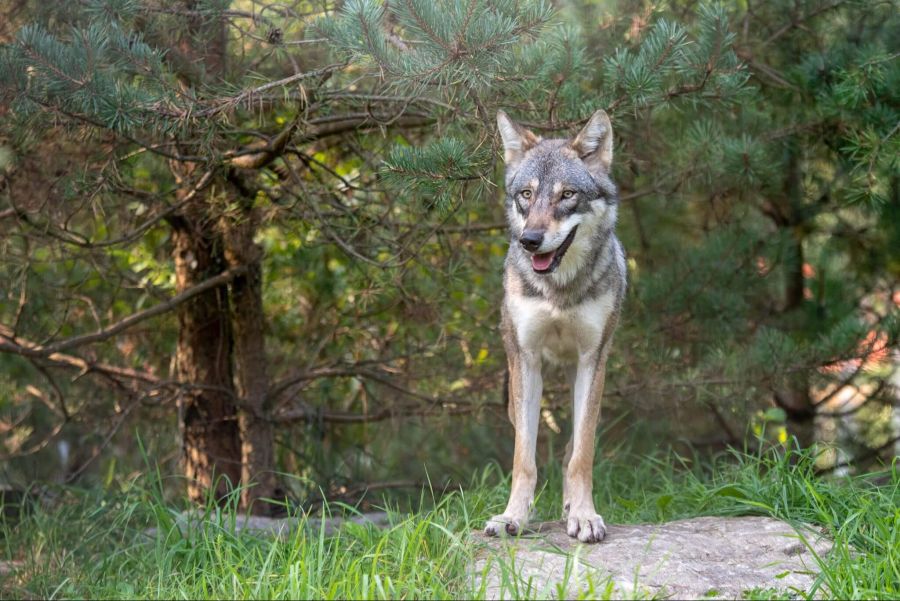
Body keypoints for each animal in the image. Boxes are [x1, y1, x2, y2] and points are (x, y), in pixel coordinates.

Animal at [484, 110, 627, 543]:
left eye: (567, 195)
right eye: (526, 195)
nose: (530, 240)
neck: (558, 290)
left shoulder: (592, 360)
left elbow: (580, 455)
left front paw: (583, 515)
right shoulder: (526, 360)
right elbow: (524, 458)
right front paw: (512, 516)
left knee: (572, 449)